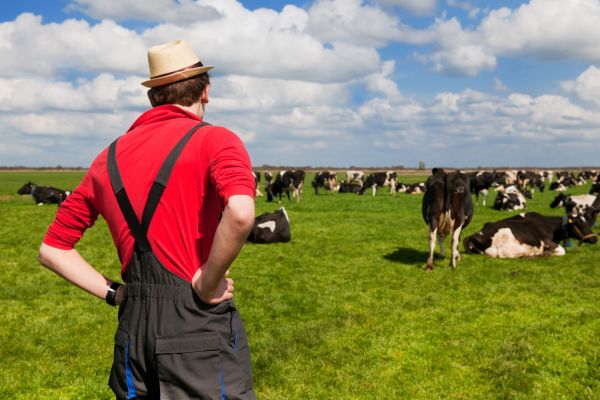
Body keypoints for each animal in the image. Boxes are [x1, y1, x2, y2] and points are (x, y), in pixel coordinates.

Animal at [464, 211, 596, 258]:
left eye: (588, 222)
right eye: (579, 224)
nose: (595, 238)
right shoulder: (546, 240)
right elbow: (562, 250)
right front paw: (546, 253)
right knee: (502, 254)